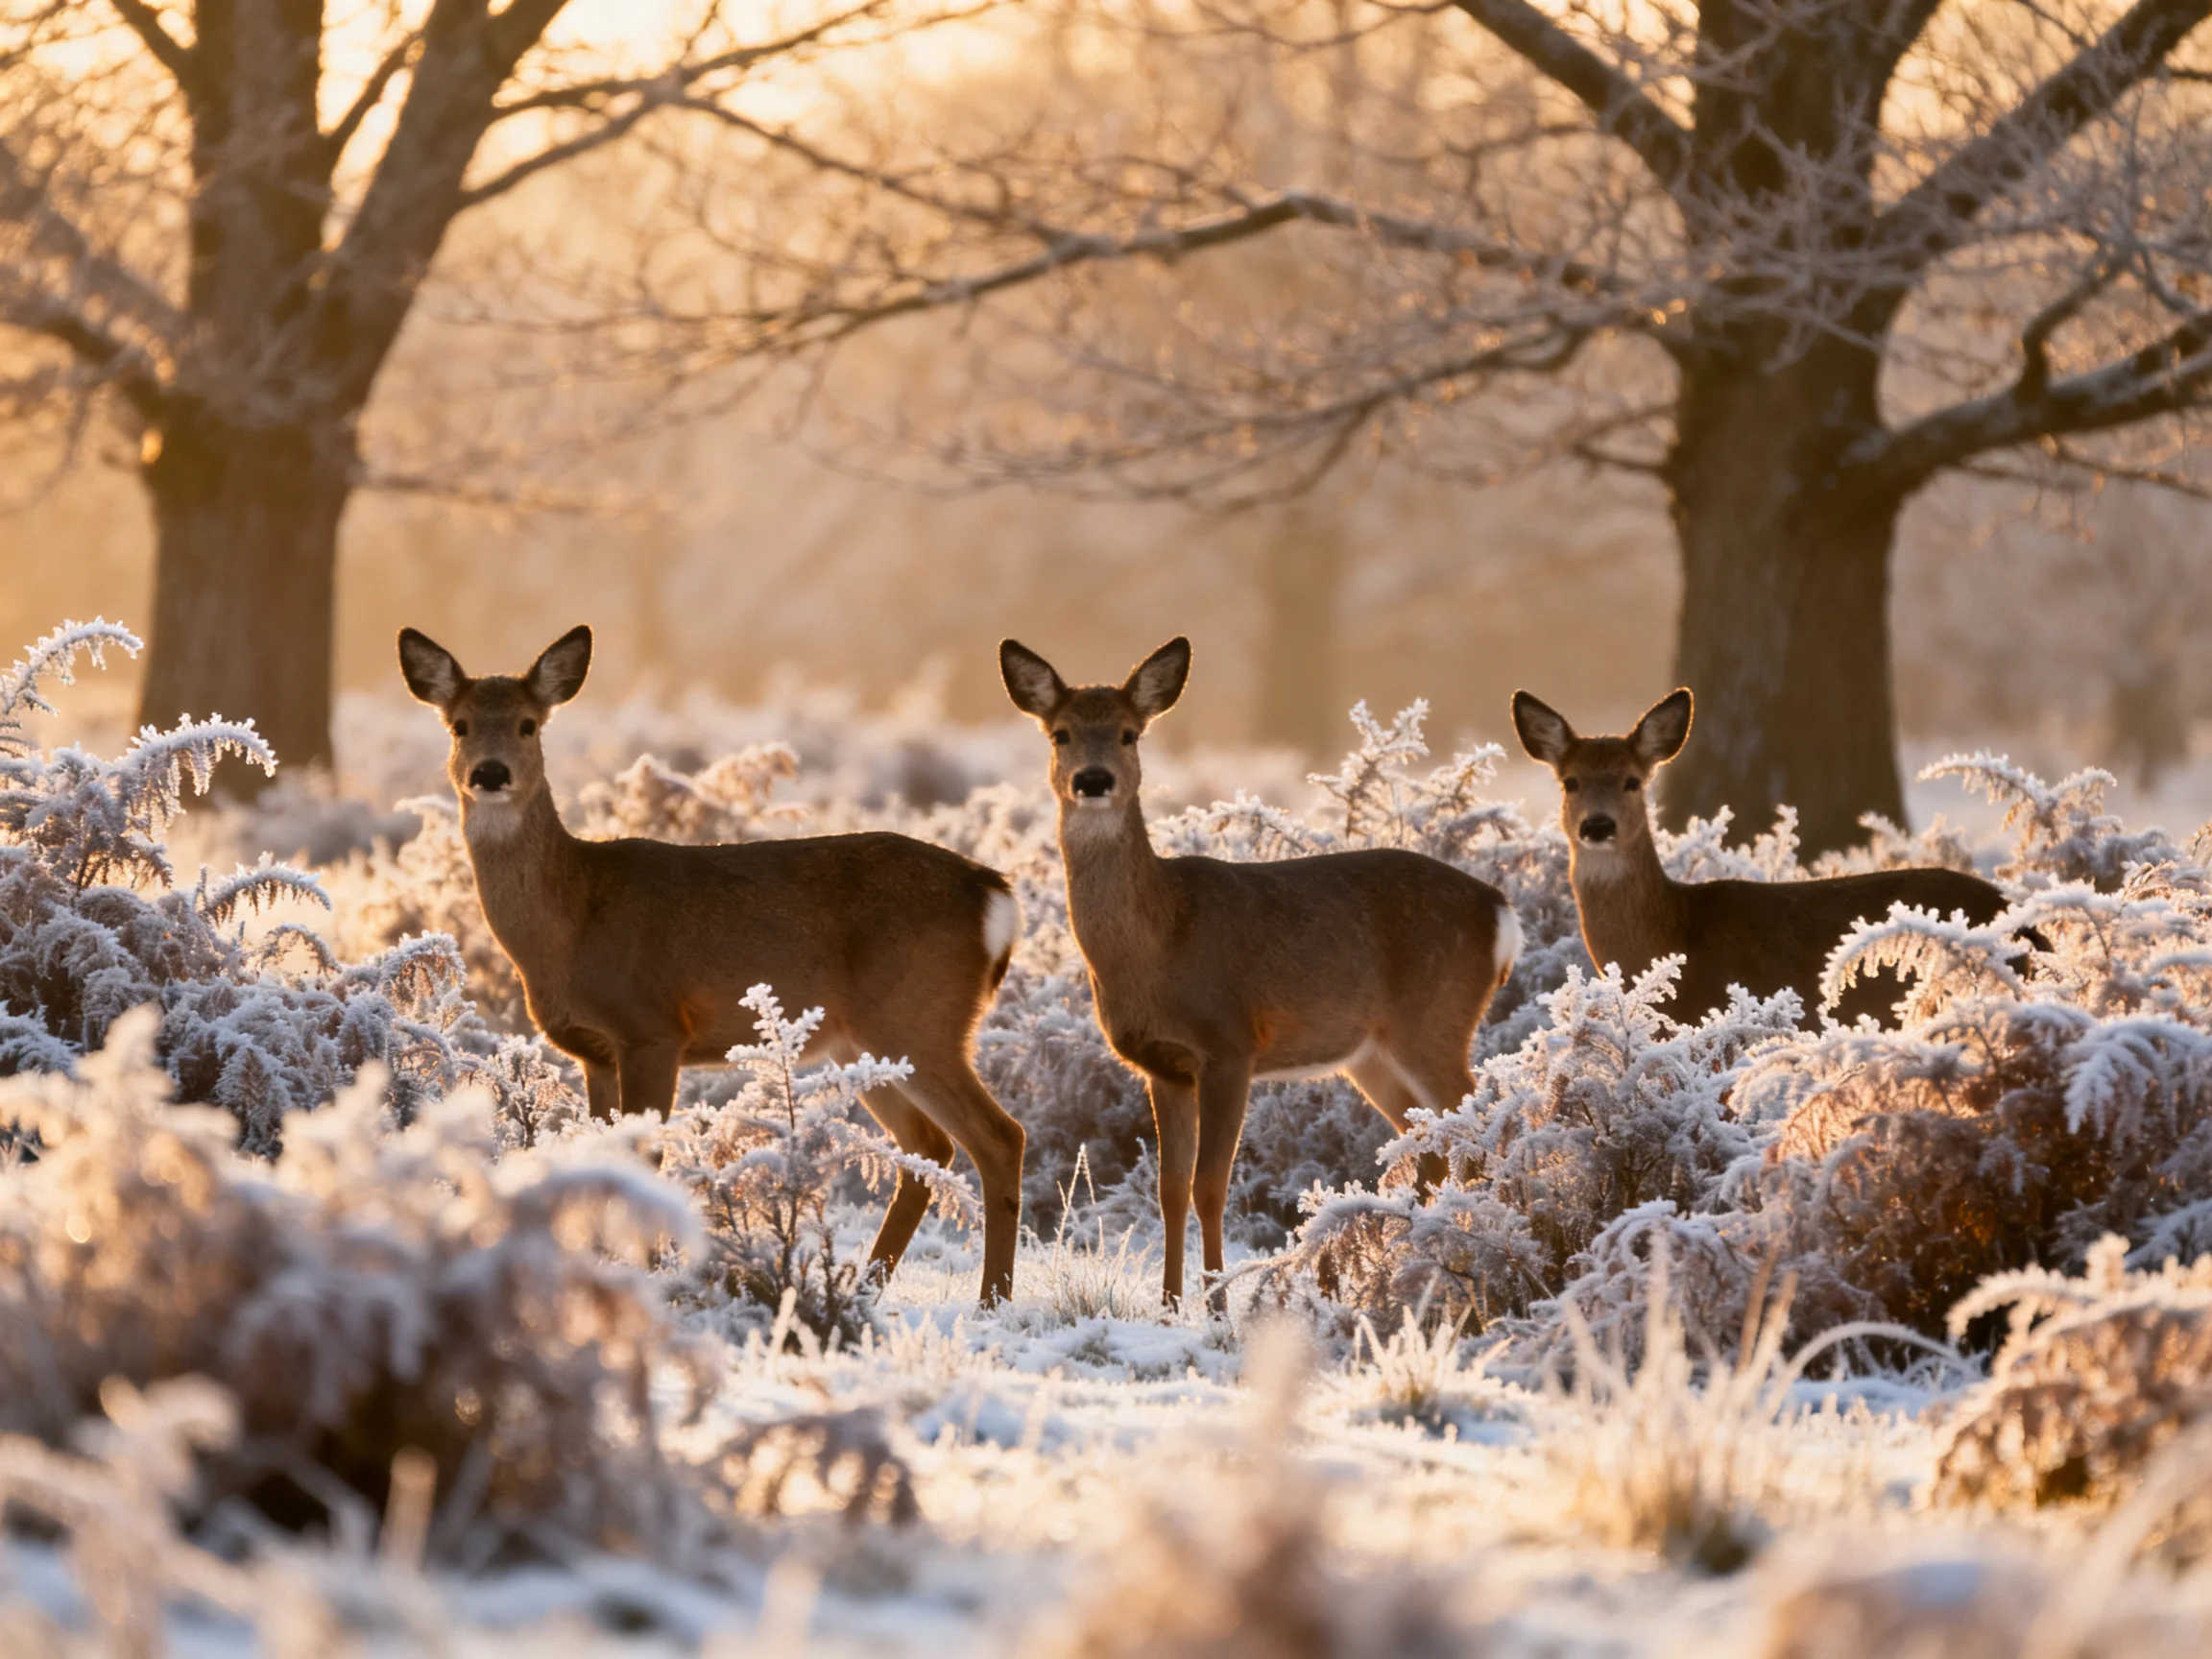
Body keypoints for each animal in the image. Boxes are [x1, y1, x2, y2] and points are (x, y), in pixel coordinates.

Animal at [397, 625, 1029, 1305]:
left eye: (527, 724)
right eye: (459, 724)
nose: (490, 773)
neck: (573, 918)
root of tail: (993, 893)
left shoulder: (653, 1029)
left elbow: (647, 1159)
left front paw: (648, 1276)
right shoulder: (596, 1051)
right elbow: (606, 1155)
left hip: (919, 1018)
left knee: (999, 1137)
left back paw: (991, 1300)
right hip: (864, 1040)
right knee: (928, 1146)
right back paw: (865, 1287)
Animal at [1000, 636, 1522, 1307]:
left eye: (1128, 733)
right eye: (1060, 733)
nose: (1093, 780)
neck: (1162, 939)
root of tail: (1499, 911)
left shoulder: (1230, 1045)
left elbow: (1210, 1185)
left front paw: (1219, 1303)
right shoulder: (1163, 1066)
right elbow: (1170, 1190)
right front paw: (1169, 1306)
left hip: (1436, 1020)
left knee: (1475, 1130)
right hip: (1372, 1054)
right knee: (1431, 1145)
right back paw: (1420, 1262)